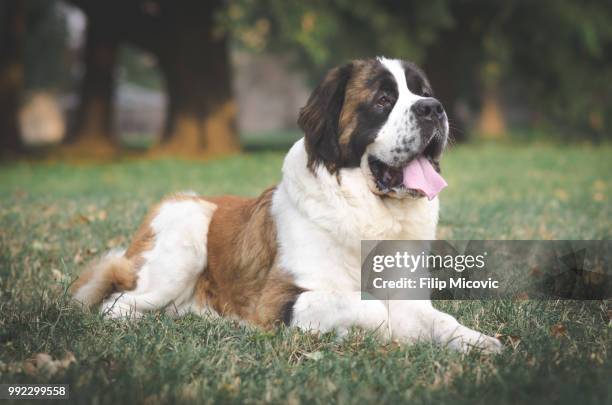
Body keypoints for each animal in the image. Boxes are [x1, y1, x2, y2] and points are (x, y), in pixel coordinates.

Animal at [71, 56, 502, 350]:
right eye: (383, 99)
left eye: (424, 93)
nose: (433, 109)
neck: (368, 212)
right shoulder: (280, 298)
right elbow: (371, 309)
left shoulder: (409, 296)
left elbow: (439, 319)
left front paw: (478, 343)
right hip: (185, 234)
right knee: (115, 303)